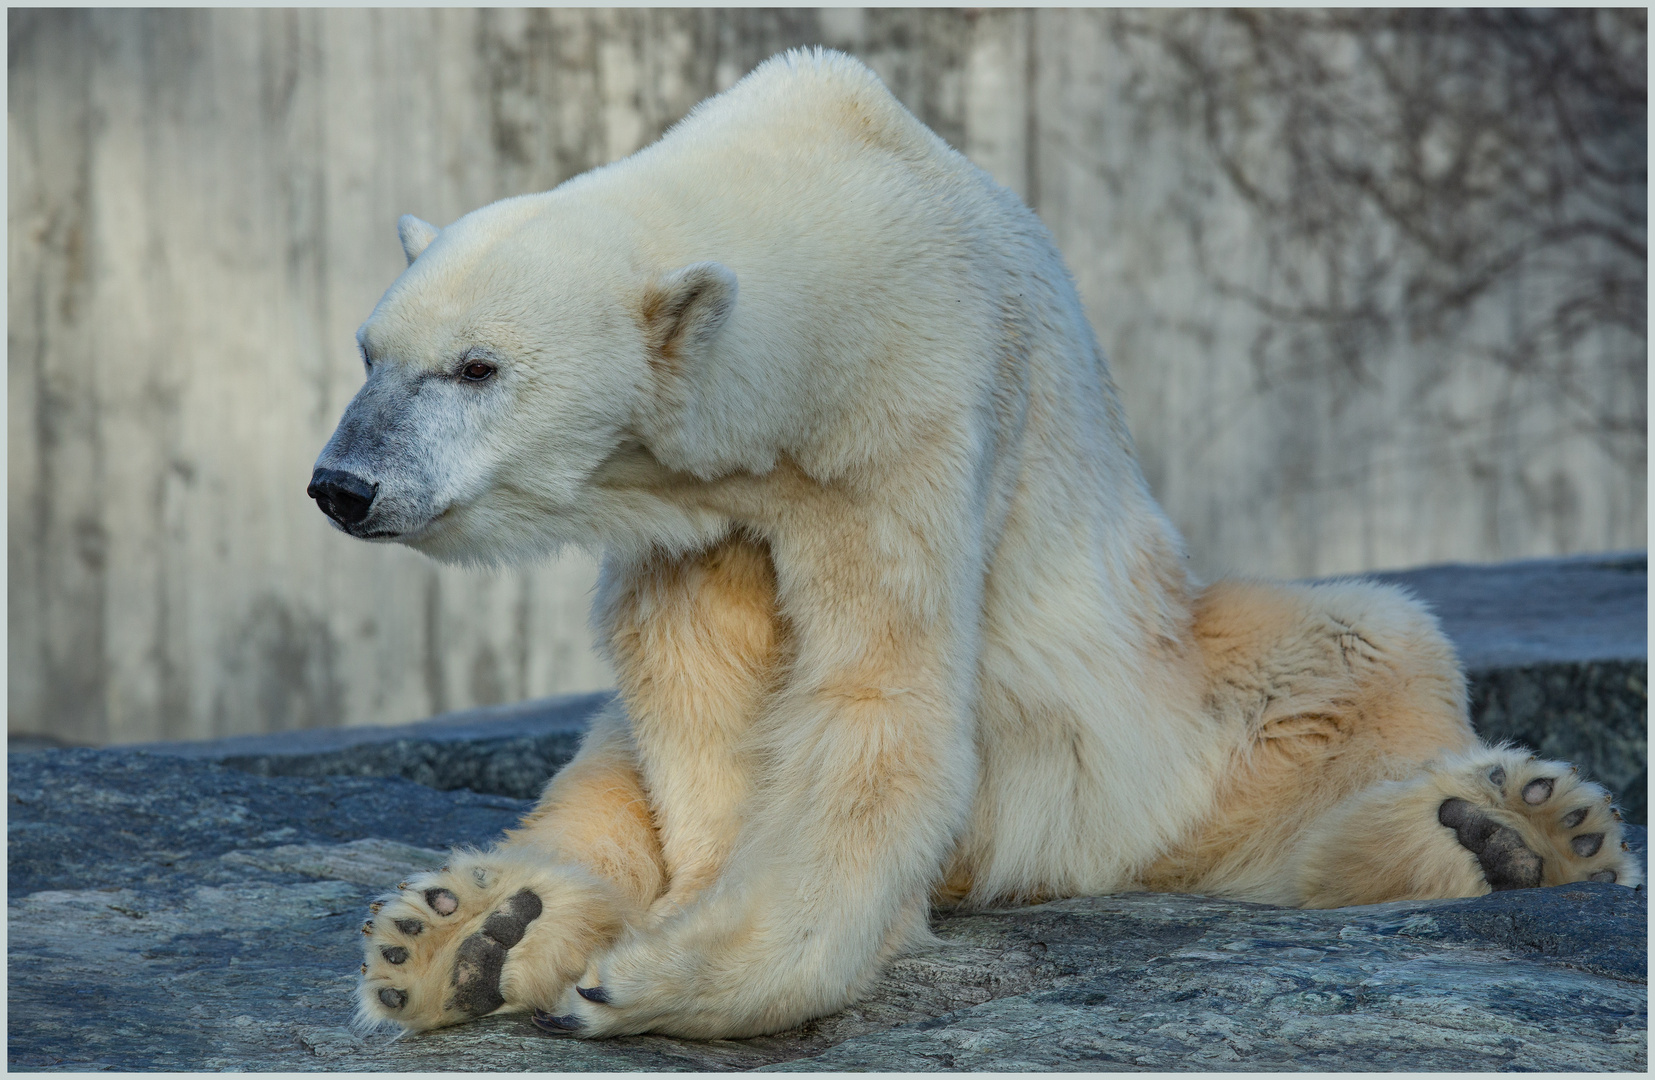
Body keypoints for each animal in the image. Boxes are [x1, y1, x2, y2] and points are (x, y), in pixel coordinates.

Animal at [312, 48, 1641, 1038]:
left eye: (476, 368)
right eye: (370, 352)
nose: (340, 485)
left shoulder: (912, 417)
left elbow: (874, 697)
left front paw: (666, 978)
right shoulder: (703, 512)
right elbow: (692, 695)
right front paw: (642, 925)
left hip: (1164, 702)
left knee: (1365, 646)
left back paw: (1511, 831)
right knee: (595, 770)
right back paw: (468, 931)